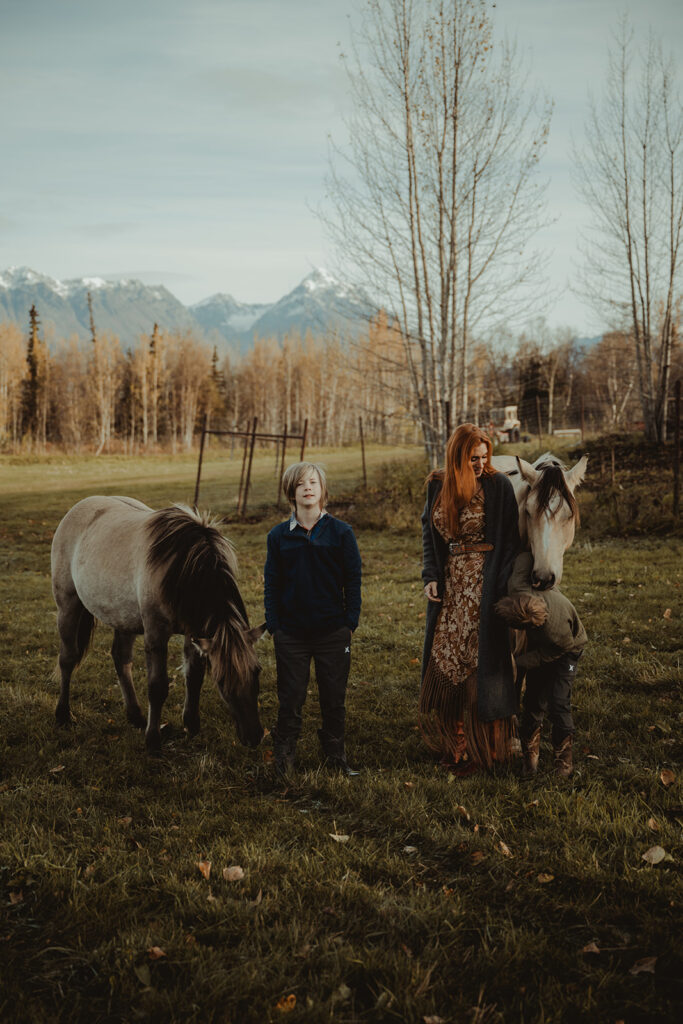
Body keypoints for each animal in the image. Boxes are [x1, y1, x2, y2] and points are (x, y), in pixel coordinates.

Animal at [50, 495, 264, 753]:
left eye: (257, 671)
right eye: (221, 681)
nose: (255, 736)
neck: (182, 565)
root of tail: (79, 507)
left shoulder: (194, 633)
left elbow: (194, 677)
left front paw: (191, 725)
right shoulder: (156, 634)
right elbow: (157, 687)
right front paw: (153, 741)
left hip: (124, 618)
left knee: (121, 659)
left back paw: (135, 716)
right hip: (68, 606)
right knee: (68, 659)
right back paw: (63, 715)